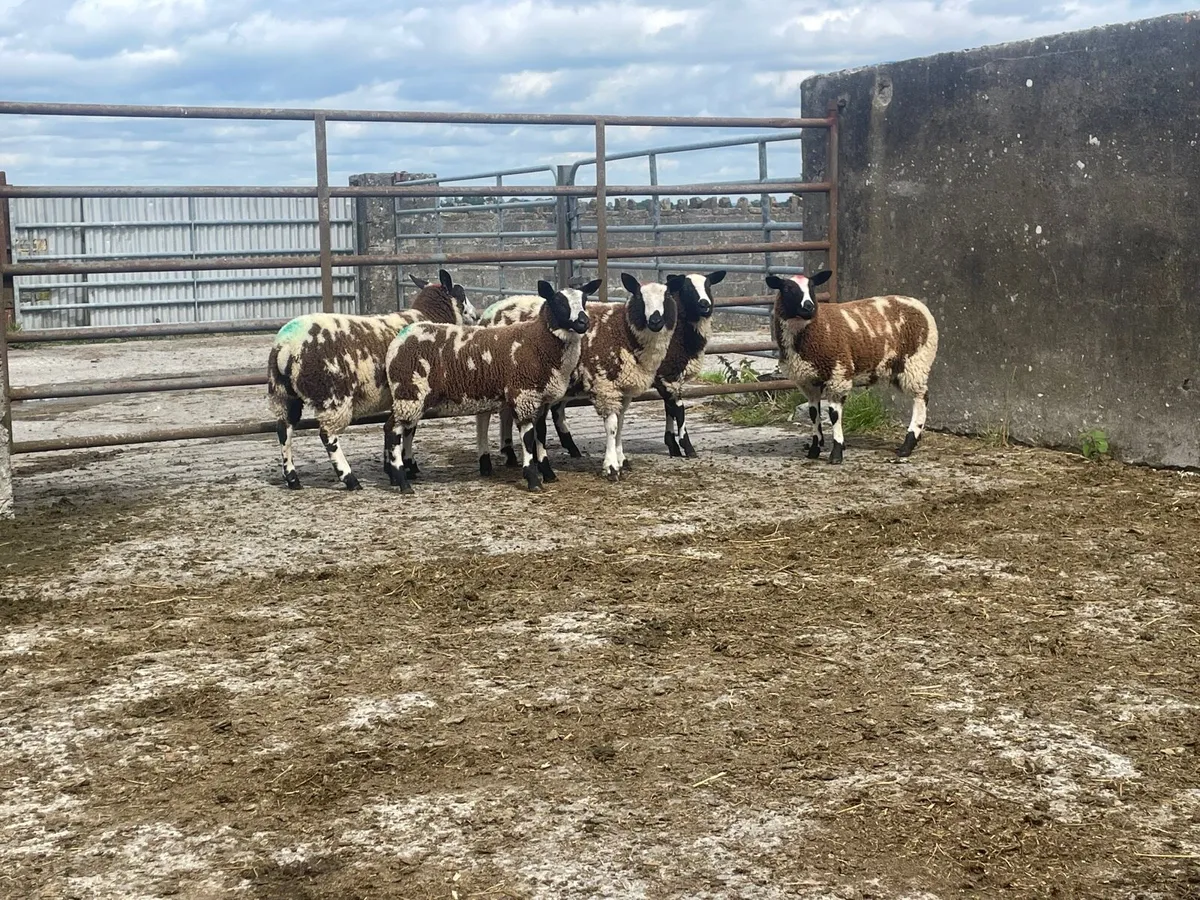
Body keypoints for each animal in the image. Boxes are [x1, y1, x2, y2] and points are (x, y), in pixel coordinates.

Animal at [266, 268, 477, 490]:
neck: (429, 317)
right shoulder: (415, 390)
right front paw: (408, 466)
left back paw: (292, 478)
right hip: (333, 396)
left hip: (283, 394)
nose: (476, 315)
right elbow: (409, 430)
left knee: (284, 430)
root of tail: (287, 346)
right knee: (327, 435)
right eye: (461, 293)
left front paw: (391, 469)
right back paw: (349, 479)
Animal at [383, 279, 597, 494]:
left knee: (392, 428)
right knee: (393, 430)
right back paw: (403, 481)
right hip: (410, 392)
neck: (537, 341)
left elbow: (541, 434)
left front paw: (548, 474)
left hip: (407, 395)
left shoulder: (541, 399)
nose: (583, 323)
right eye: (559, 302)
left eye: (584, 300)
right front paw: (533, 479)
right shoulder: (523, 394)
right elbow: (528, 438)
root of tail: (398, 342)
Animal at [765, 270, 938, 464]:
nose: (809, 307)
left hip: (915, 362)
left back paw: (907, 444)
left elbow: (834, 414)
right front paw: (814, 449)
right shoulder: (808, 381)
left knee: (921, 397)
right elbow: (813, 413)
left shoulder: (838, 373)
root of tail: (918, 304)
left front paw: (836, 453)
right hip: (899, 367)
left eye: (812, 287)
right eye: (788, 288)